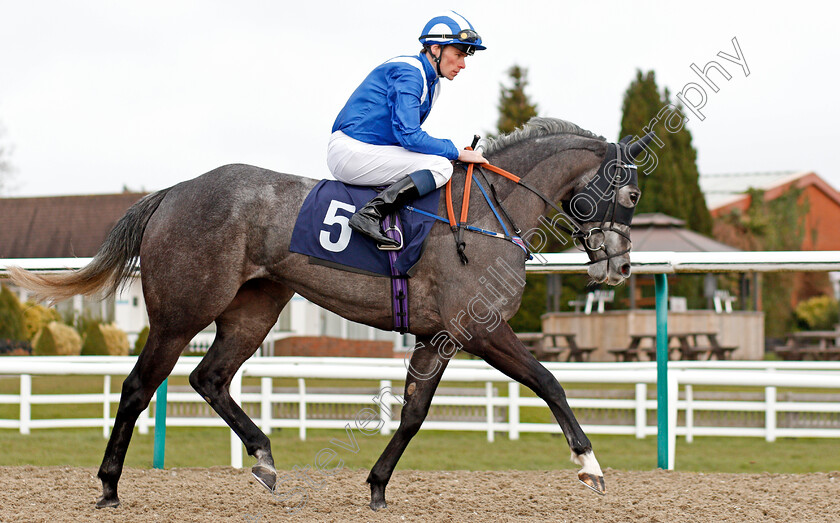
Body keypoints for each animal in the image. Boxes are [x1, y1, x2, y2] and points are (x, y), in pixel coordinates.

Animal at [9, 116, 648, 510]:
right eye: (633, 195)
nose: (619, 267)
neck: (487, 214)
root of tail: (174, 191)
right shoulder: (481, 328)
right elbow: (549, 381)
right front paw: (591, 465)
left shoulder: (437, 336)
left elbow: (413, 414)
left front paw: (378, 486)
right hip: (180, 313)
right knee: (139, 387)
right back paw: (109, 486)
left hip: (254, 310)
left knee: (208, 378)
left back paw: (265, 460)